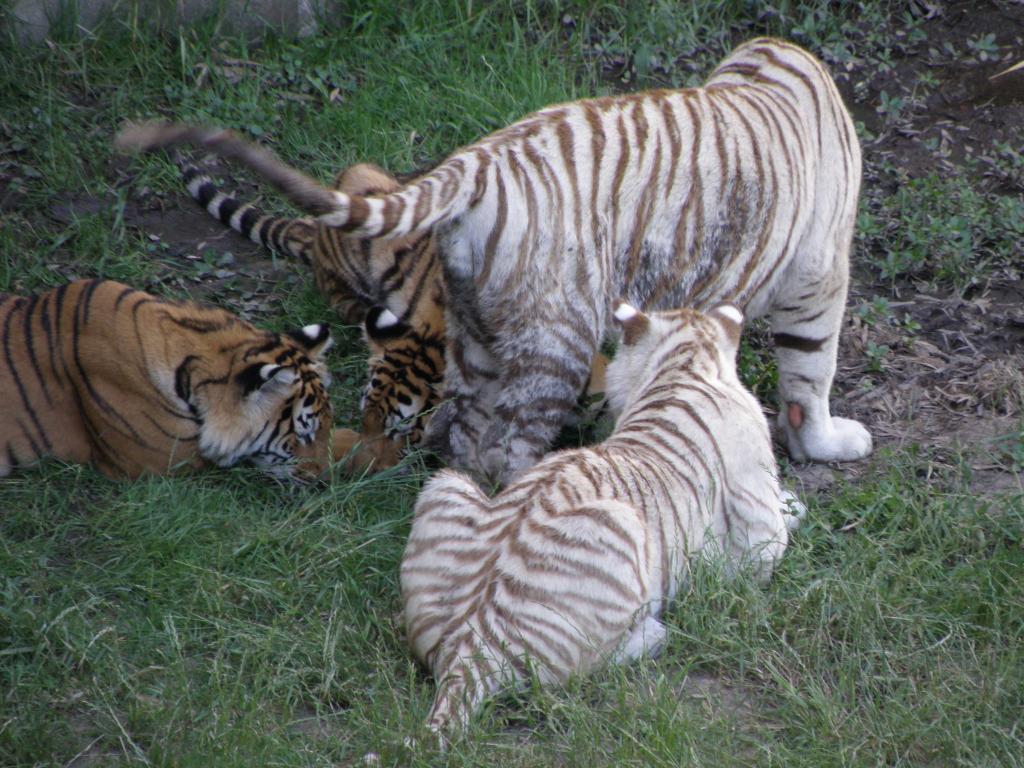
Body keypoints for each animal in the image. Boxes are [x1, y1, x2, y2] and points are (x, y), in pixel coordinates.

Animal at [117, 37, 872, 481]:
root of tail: (477, 163)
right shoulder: (819, 276)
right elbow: (812, 373)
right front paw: (829, 443)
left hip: (478, 334)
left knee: (463, 432)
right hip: (556, 338)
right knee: (508, 447)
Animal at [395, 303, 802, 745]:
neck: (684, 364)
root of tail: (470, 645)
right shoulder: (758, 524)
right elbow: (769, 540)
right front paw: (795, 506)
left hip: (446, 486)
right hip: (621, 525)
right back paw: (653, 634)